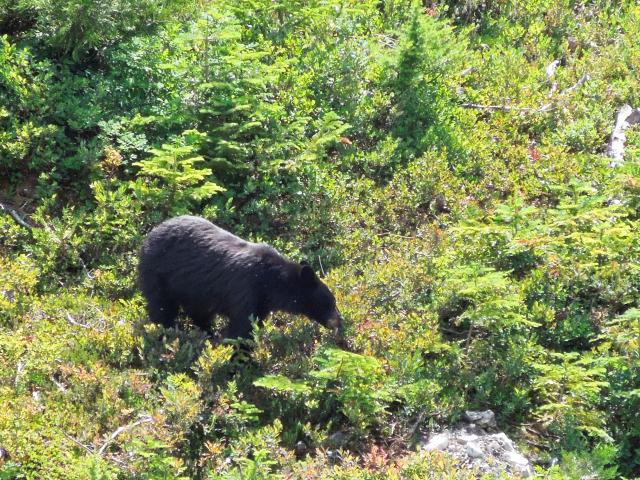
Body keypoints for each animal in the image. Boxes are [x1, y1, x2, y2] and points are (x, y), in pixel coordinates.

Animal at [138, 216, 342, 340]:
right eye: (331, 302)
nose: (340, 322)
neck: (270, 280)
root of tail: (148, 237)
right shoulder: (245, 290)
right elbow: (241, 329)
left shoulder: (262, 302)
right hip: (158, 275)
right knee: (162, 309)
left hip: (192, 290)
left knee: (199, 312)